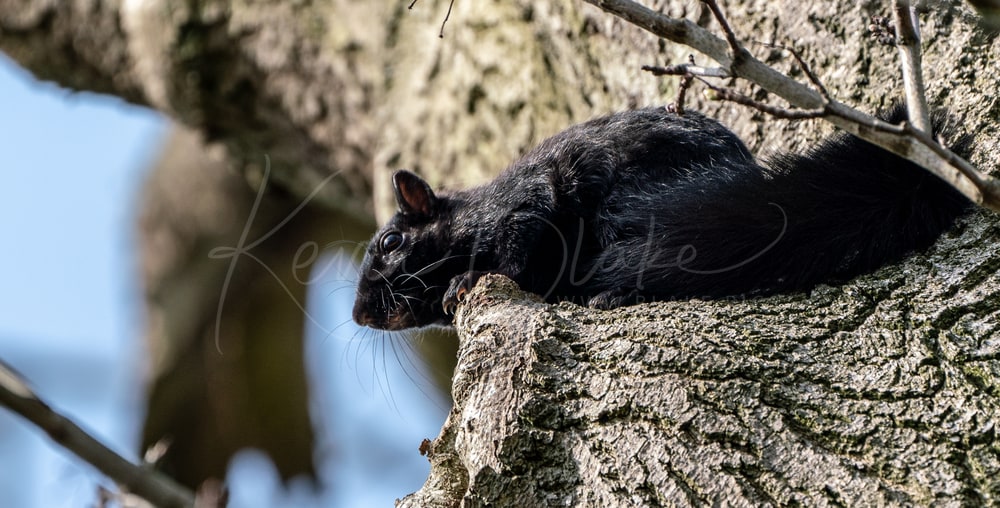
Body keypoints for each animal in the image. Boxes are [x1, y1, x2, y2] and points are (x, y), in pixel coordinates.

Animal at [352, 106, 971, 330]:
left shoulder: (523, 207)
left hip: (643, 210)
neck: (474, 213)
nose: (360, 315)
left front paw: (469, 279)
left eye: (390, 242)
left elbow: (518, 249)